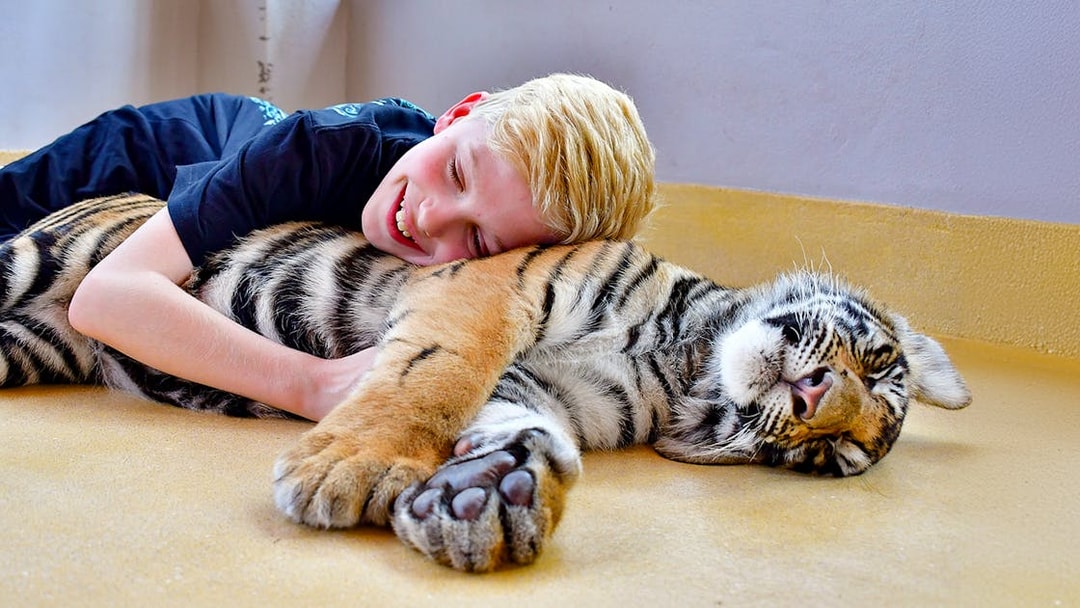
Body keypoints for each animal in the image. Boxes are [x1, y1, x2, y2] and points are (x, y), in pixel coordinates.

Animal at [0, 193, 971, 572]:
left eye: (827, 457)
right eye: (878, 366)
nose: (814, 403)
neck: (681, 360)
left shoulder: (554, 391)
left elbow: (516, 421)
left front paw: (492, 495)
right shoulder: (488, 292)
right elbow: (432, 376)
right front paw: (343, 471)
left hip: (28, 345)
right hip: (28, 264)